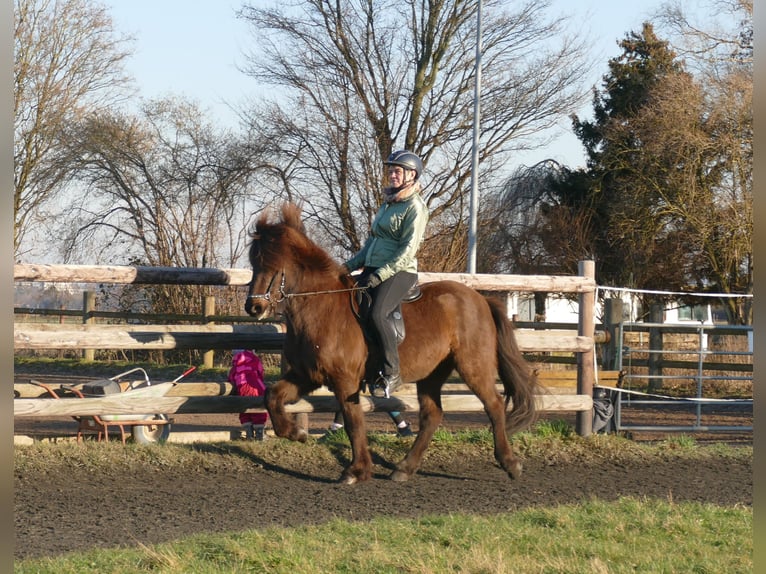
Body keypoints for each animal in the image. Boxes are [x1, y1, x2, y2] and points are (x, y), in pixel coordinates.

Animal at [246, 202, 540, 486]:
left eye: (273, 265)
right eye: (254, 263)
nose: (254, 307)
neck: (321, 308)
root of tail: (480, 299)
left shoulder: (345, 381)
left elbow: (353, 422)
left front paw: (356, 471)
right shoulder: (306, 375)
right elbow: (272, 396)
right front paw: (296, 433)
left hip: (473, 366)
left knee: (494, 405)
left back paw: (510, 463)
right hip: (432, 373)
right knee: (432, 415)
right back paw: (404, 468)